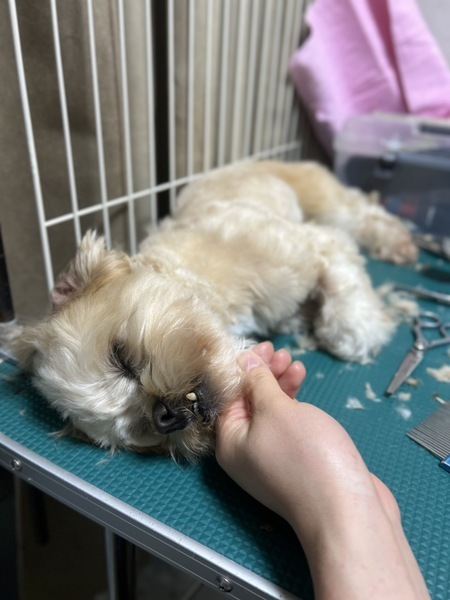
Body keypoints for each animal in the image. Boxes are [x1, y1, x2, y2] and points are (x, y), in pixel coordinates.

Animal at [14, 161, 417, 461]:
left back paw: (400, 243)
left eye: (121, 358)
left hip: (324, 200)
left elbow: (345, 311)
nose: (164, 416)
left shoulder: (312, 245)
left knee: (364, 212)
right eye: (140, 428)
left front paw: (361, 327)